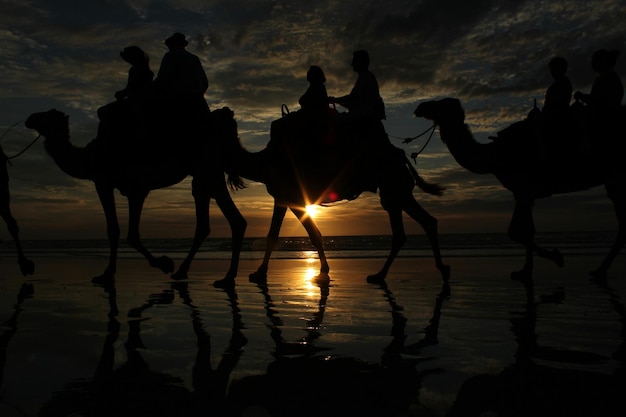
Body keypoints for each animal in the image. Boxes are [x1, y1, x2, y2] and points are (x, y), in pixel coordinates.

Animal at [25, 106, 247, 282]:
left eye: (48, 115)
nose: (29, 118)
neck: (88, 158)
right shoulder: (127, 188)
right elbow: (124, 231)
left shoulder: (118, 185)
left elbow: (121, 231)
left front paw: (158, 264)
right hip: (209, 172)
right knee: (225, 220)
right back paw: (211, 275)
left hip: (206, 169)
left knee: (219, 220)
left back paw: (211, 275)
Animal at [412, 97, 620, 280]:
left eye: (440, 104)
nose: (420, 107)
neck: (493, 157)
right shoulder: (524, 193)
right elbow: (527, 229)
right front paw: (525, 271)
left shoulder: (523, 189)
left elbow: (516, 231)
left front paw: (555, 257)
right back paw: (600, 269)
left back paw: (600, 269)